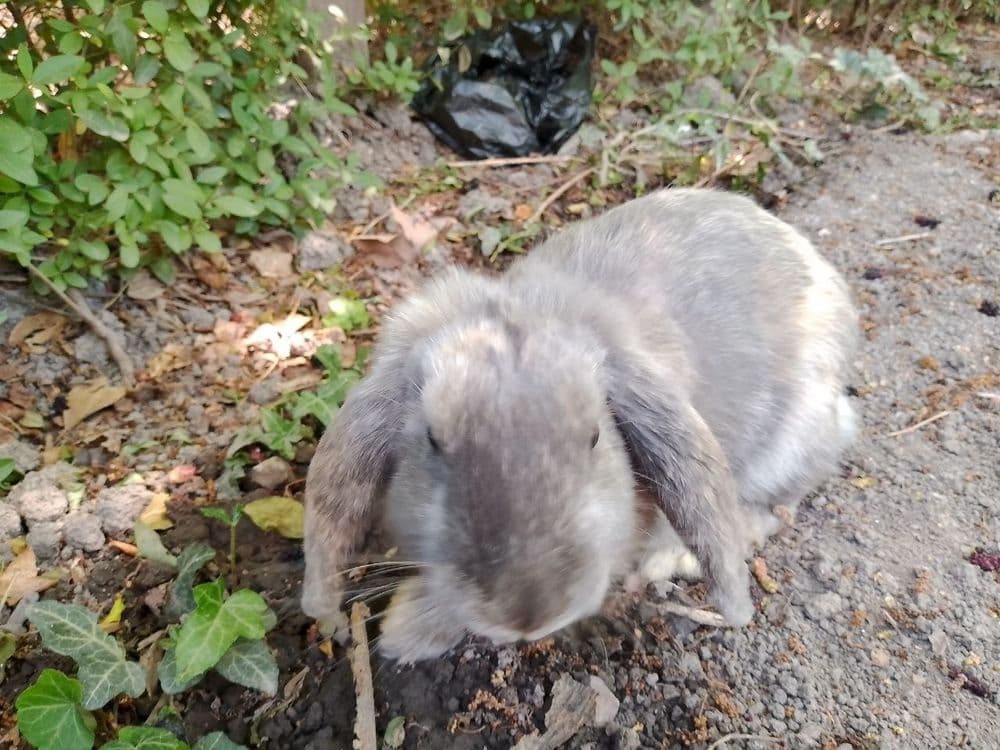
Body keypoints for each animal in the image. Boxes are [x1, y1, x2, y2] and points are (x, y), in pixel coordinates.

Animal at [302, 187, 859, 664]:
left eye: (594, 436)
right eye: (433, 441)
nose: (528, 616)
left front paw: (407, 632)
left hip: (789, 447)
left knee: (773, 508)